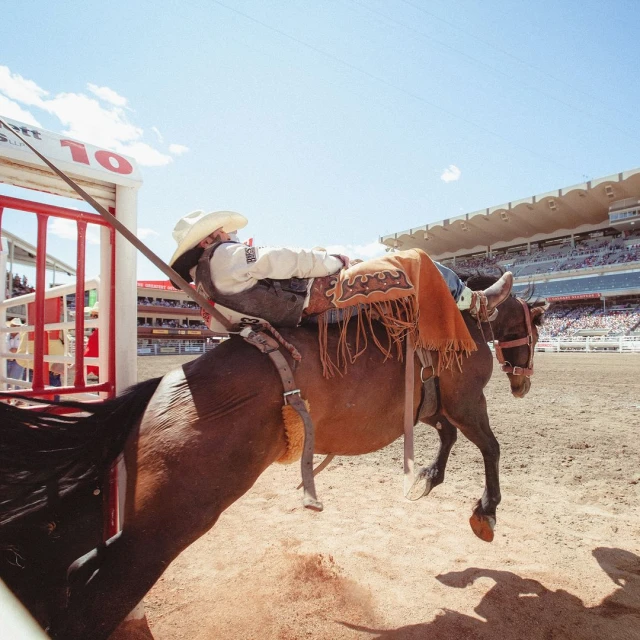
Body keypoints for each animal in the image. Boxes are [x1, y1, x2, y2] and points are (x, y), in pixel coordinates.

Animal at [0, 280, 546, 639]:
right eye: (538, 330)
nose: (524, 384)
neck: (463, 321)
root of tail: (161, 390)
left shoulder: (430, 406)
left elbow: (449, 436)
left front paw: (429, 477)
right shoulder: (466, 399)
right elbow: (490, 446)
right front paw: (486, 511)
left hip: (134, 515)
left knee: (76, 561)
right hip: (168, 526)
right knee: (96, 599)